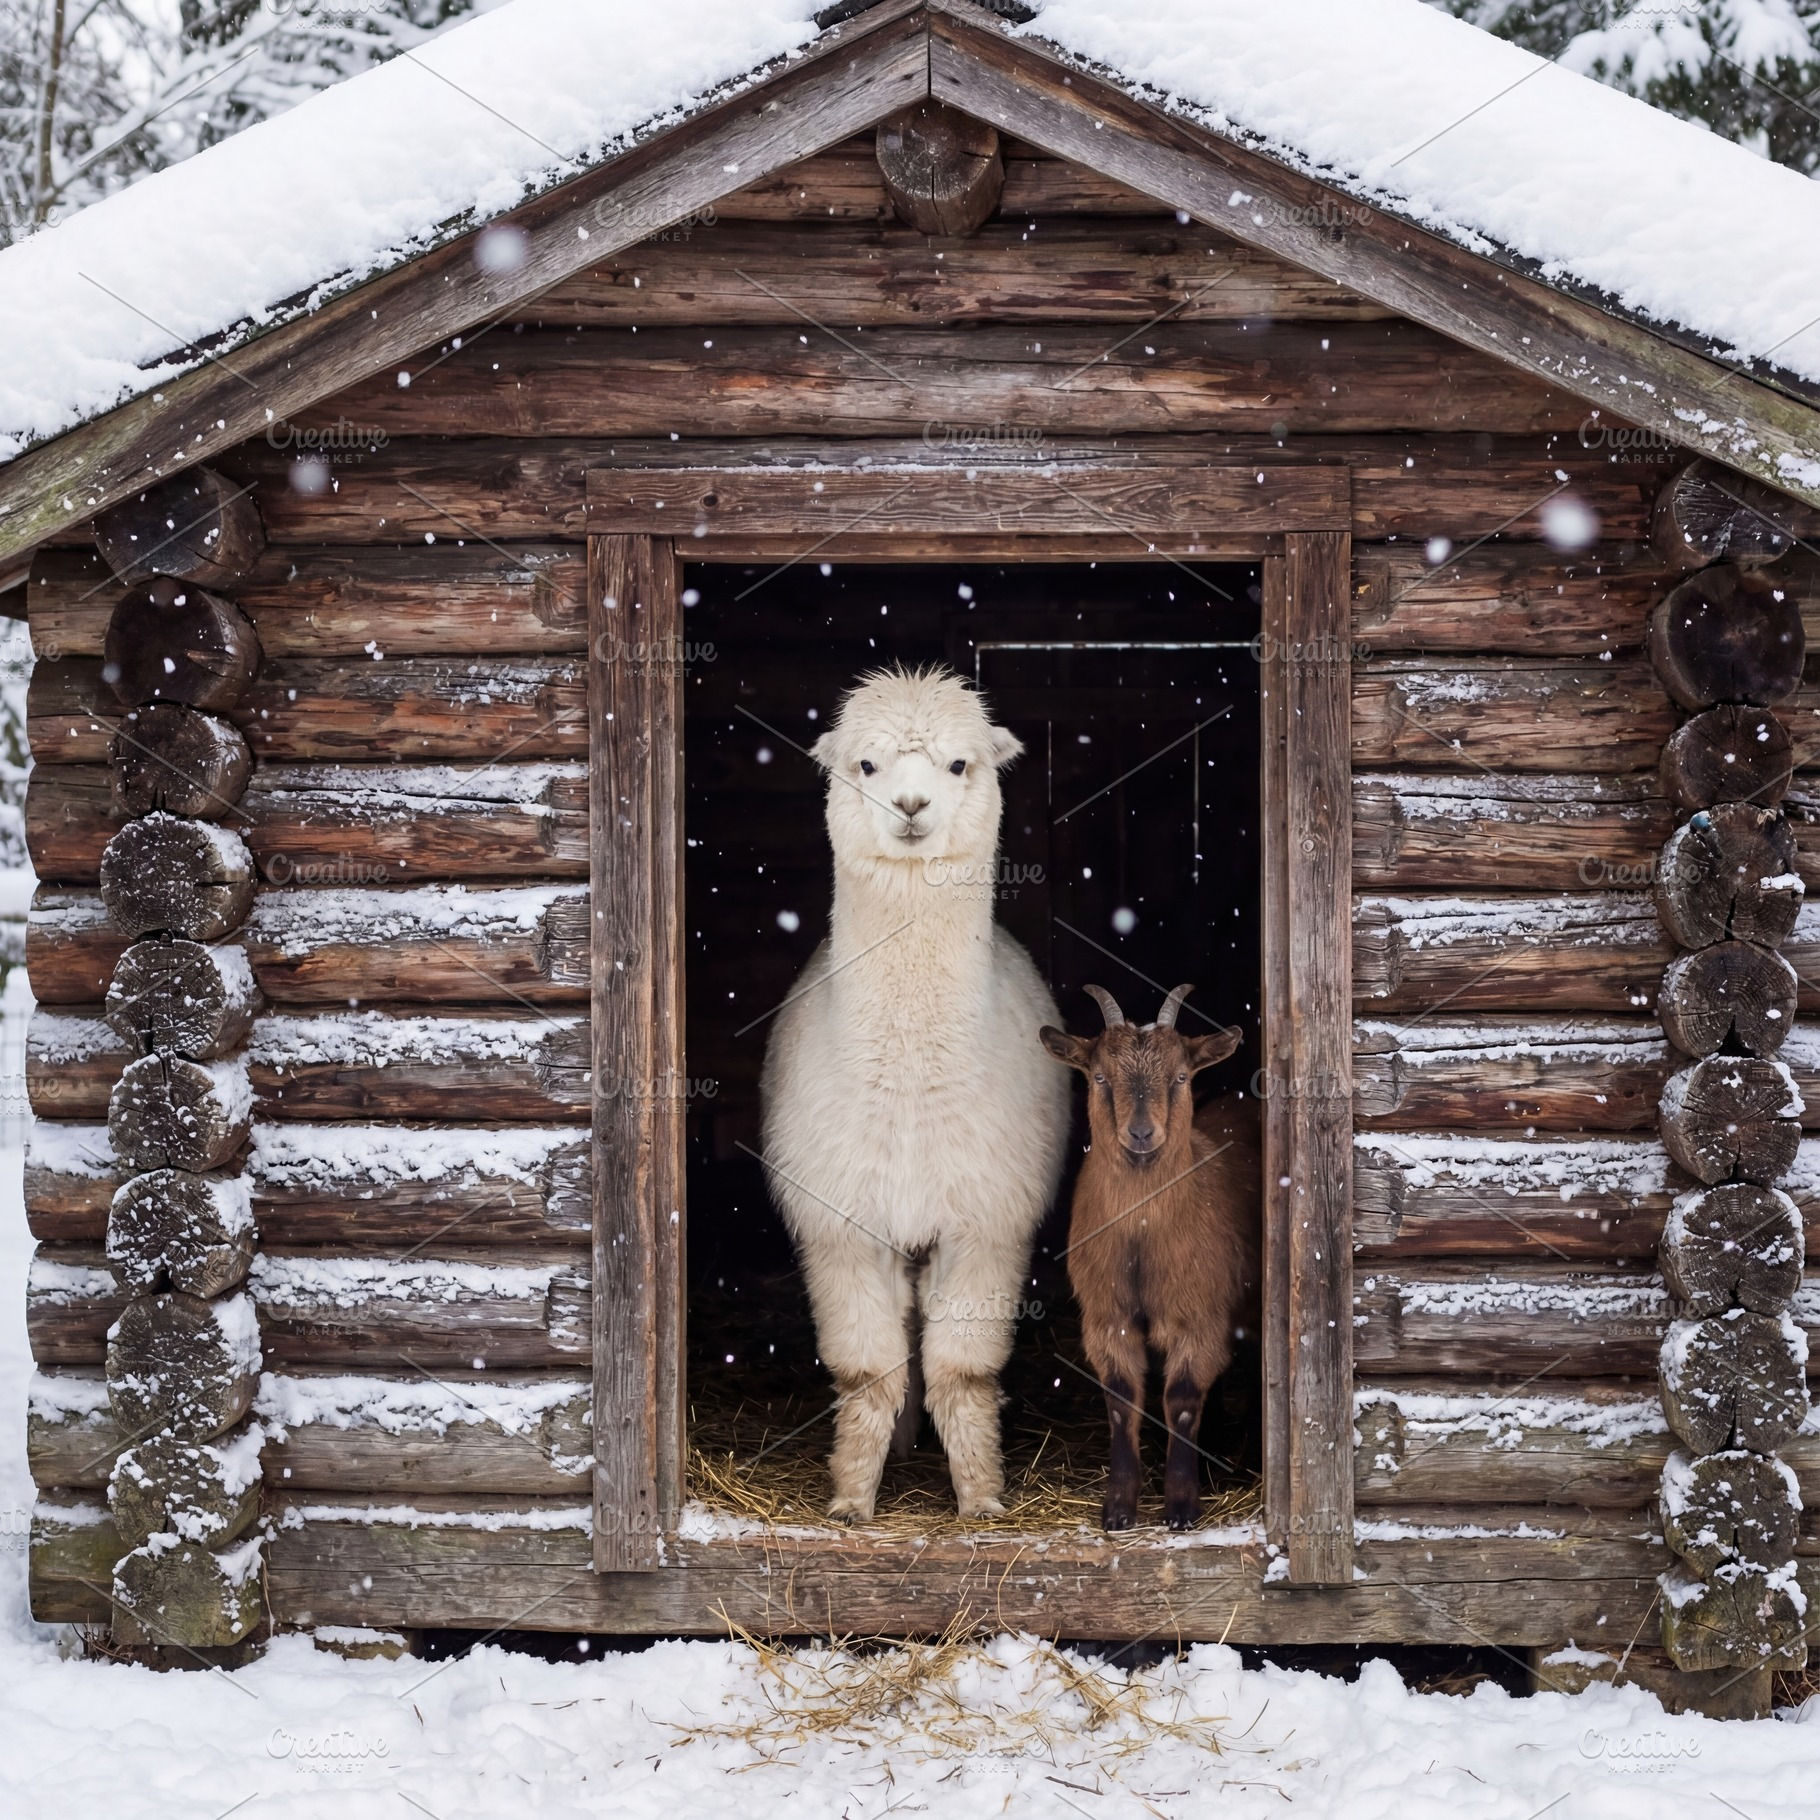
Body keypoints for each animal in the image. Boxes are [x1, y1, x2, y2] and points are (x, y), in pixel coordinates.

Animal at [1041, 983, 1260, 1530]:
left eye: (1180, 1077)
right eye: (1099, 1077)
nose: (1141, 1134)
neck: (1142, 1240)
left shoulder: (1199, 1315)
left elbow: (1180, 1399)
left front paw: (1181, 1506)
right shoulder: (1107, 1316)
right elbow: (1122, 1399)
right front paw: (1119, 1507)